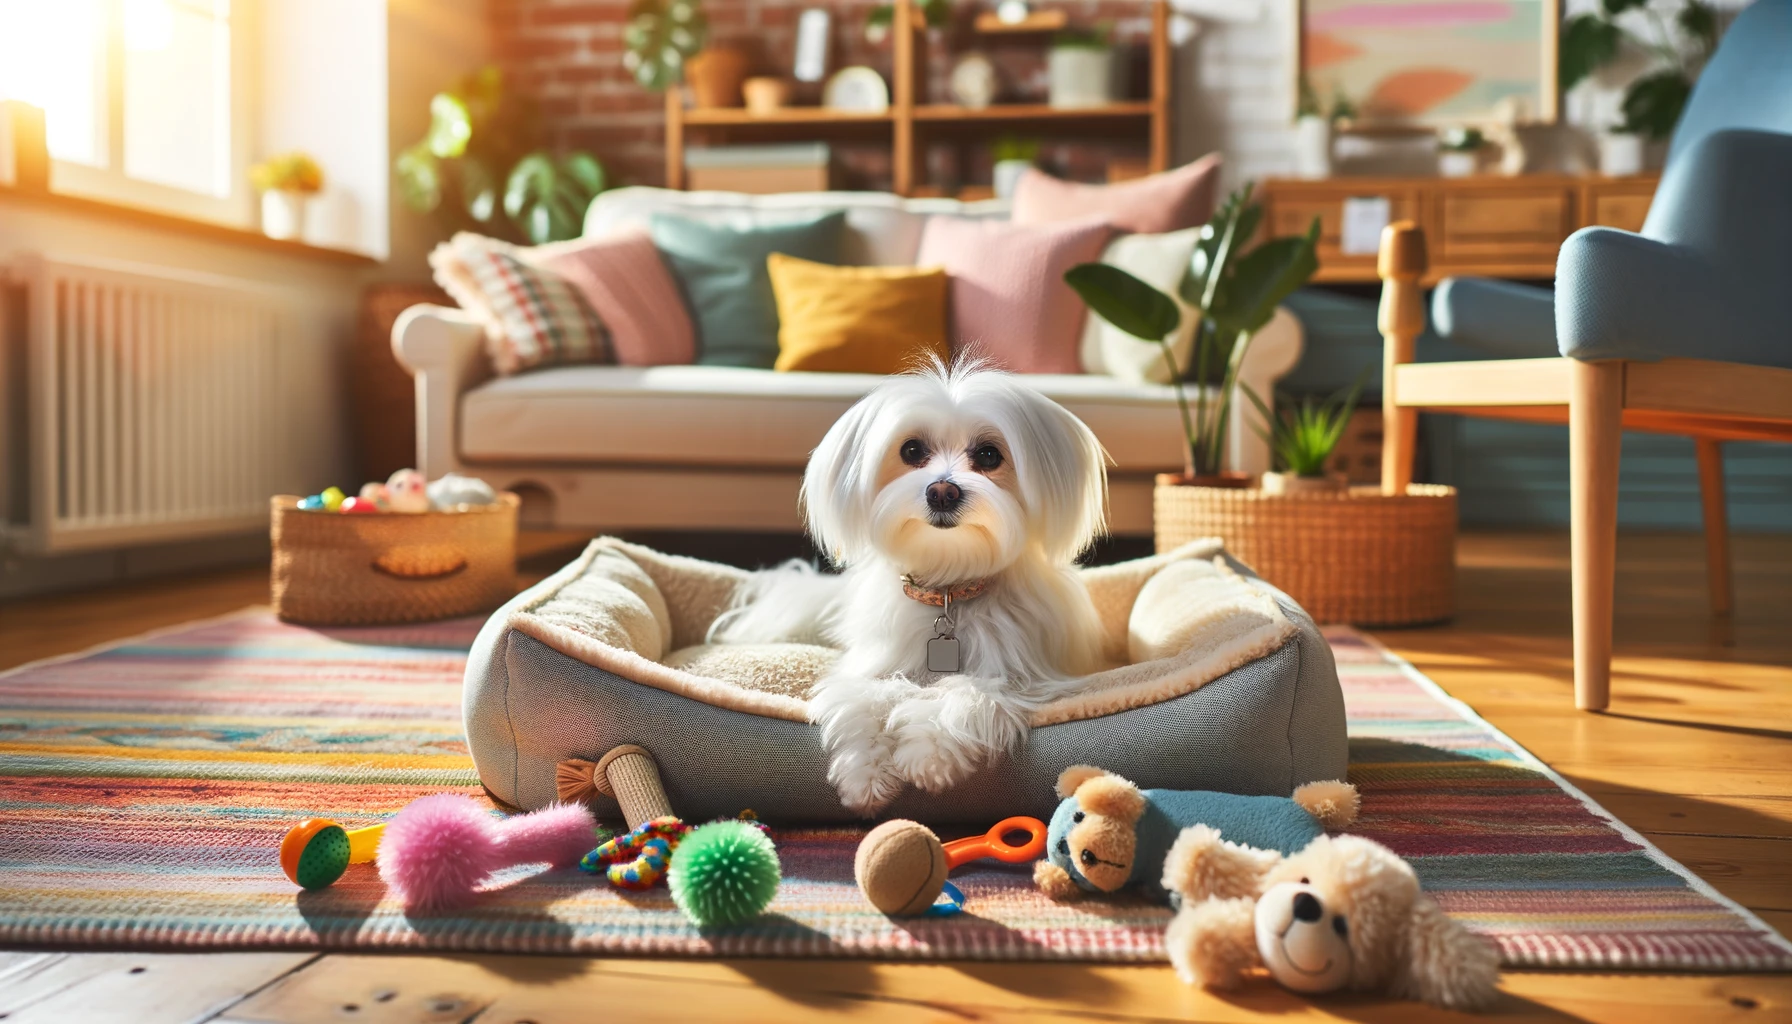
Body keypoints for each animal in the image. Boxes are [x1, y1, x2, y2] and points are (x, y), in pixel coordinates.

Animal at [709, 362, 1103, 817]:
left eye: (989, 455)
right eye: (912, 451)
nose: (942, 491)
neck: (950, 584)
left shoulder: (1020, 675)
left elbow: (966, 692)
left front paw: (928, 751)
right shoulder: (871, 663)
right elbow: (866, 695)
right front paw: (866, 773)